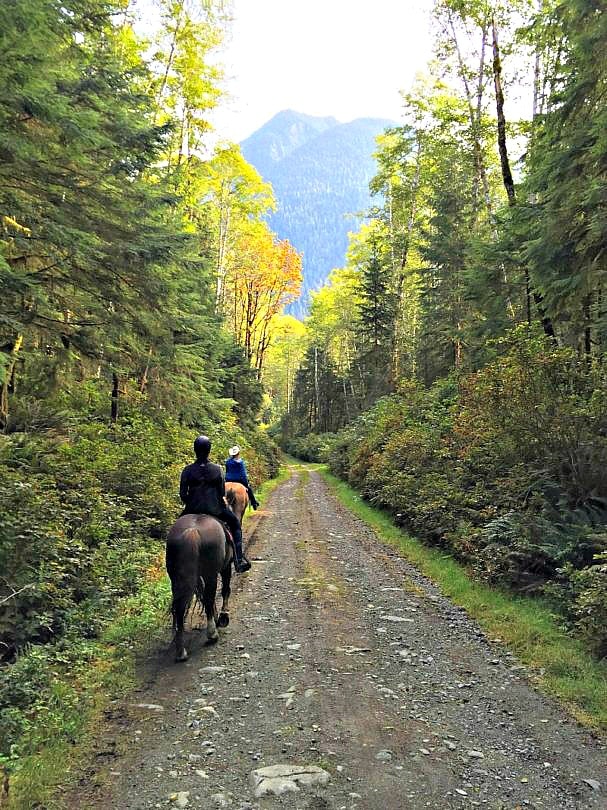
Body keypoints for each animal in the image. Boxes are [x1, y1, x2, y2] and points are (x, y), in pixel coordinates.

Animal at [165, 516, 234, 660]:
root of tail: (192, 531)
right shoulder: (226, 567)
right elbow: (225, 590)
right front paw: (223, 616)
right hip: (210, 574)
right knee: (209, 598)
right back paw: (212, 634)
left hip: (176, 579)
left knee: (179, 608)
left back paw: (181, 651)